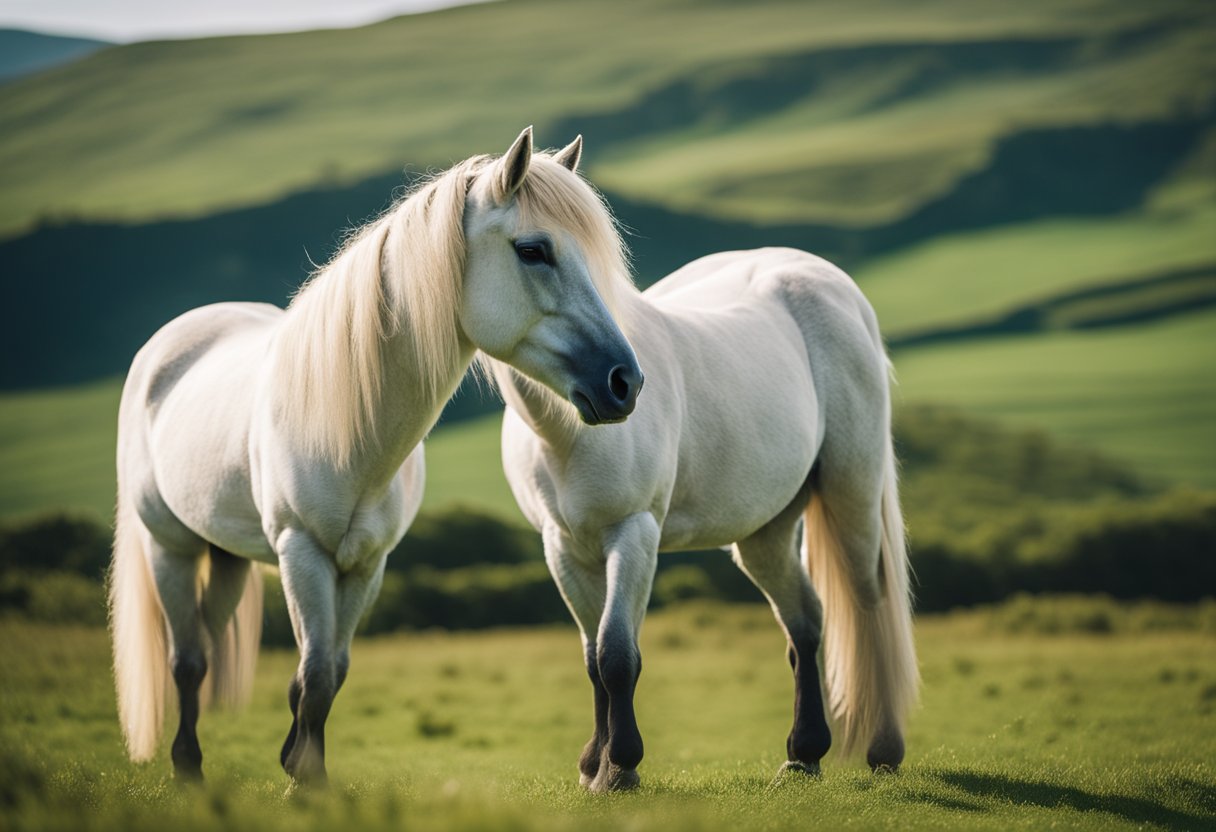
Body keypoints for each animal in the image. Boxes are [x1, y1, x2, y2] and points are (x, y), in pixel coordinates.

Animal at [111, 126, 646, 783]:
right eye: (533, 250)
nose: (624, 382)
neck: (350, 435)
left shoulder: (366, 564)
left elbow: (327, 673)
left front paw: (300, 765)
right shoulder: (302, 553)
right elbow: (315, 673)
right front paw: (304, 783)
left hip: (228, 555)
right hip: (171, 546)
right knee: (187, 660)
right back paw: (187, 767)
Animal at [488, 237, 914, 788]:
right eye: (534, 254)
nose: (619, 385)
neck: (566, 431)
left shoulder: (634, 533)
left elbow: (616, 654)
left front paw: (622, 766)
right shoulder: (563, 548)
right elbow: (593, 658)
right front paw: (594, 766)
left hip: (853, 499)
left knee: (869, 603)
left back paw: (884, 748)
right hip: (765, 533)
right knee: (804, 622)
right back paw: (804, 753)